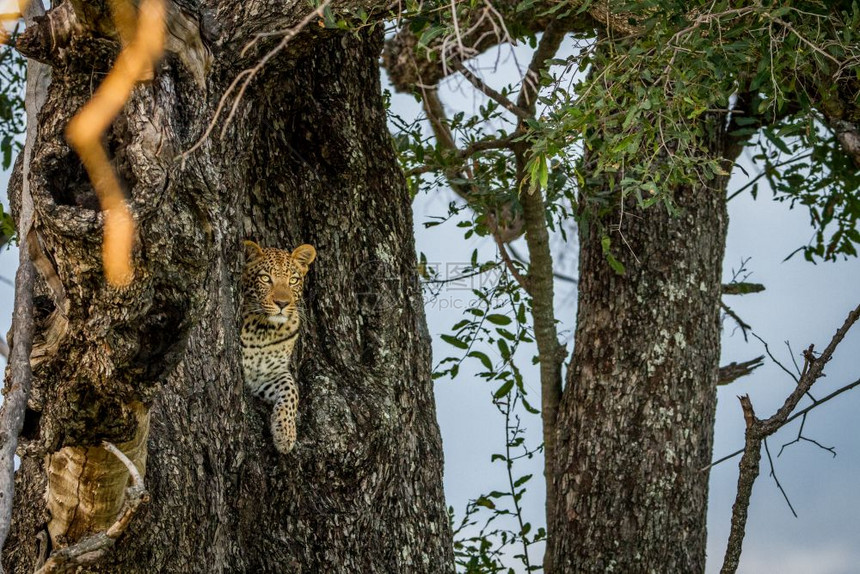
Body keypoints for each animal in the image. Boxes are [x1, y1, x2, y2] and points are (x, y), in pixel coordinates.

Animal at [242, 241, 316, 456]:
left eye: (293, 280)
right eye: (266, 278)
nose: (283, 303)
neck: (263, 330)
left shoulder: (268, 374)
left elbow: (292, 391)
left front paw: (286, 433)